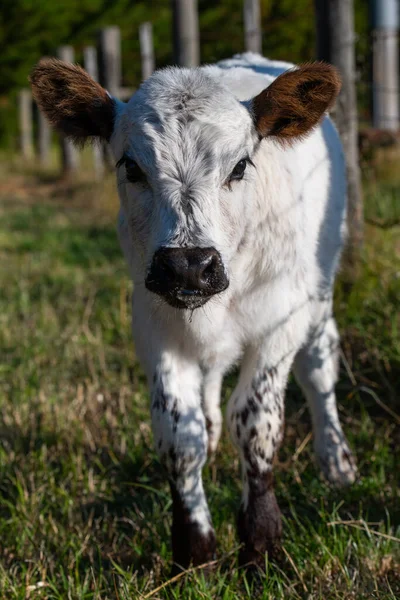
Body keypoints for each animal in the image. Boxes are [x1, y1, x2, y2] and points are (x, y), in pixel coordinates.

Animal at [30, 52, 356, 572]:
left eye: (240, 166)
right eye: (131, 166)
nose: (188, 265)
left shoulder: (280, 320)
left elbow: (257, 422)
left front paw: (261, 541)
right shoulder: (152, 322)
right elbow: (179, 435)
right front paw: (194, 548)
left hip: (319, 290)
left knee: (319, 366)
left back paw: (336, 460)